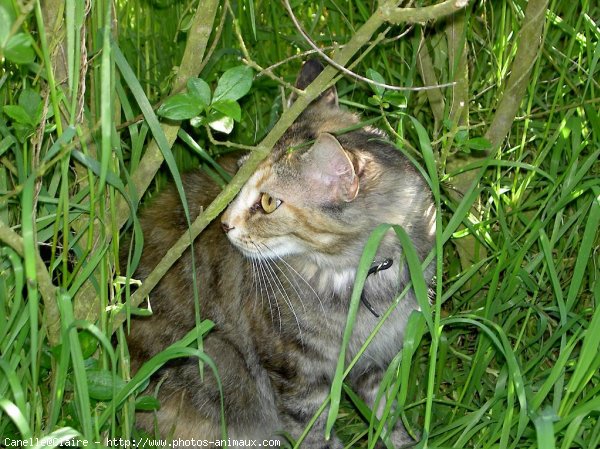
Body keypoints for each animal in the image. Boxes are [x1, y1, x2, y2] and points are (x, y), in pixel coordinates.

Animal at [127, 60, 436, 448]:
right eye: (238, 178)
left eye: (268, 202)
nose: (223, 224)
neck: (362, 281)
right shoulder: (294, 370)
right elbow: (312, 431)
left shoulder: (376, 361)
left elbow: (388, 417)